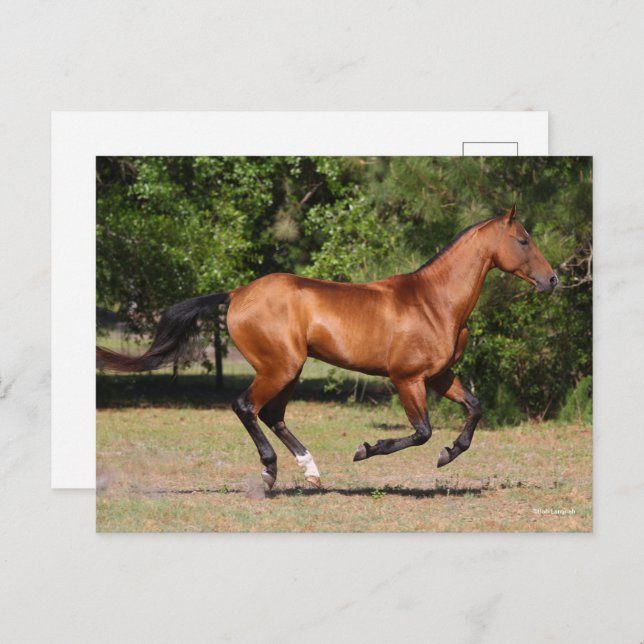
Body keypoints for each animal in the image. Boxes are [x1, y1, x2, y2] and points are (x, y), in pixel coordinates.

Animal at [97, 205, 558, 491]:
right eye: (523, 240)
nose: (552, 280)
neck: (434, 303)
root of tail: (237, 293)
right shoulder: (407, 378)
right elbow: (422, 431)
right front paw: (366, 450)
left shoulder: (440, 376)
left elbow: (475, 407)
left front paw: (449, 455)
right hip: (280, 367)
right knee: (247, 407)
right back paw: (270, 472)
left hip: (290, 369)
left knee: (273, 415)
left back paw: (311, 472)